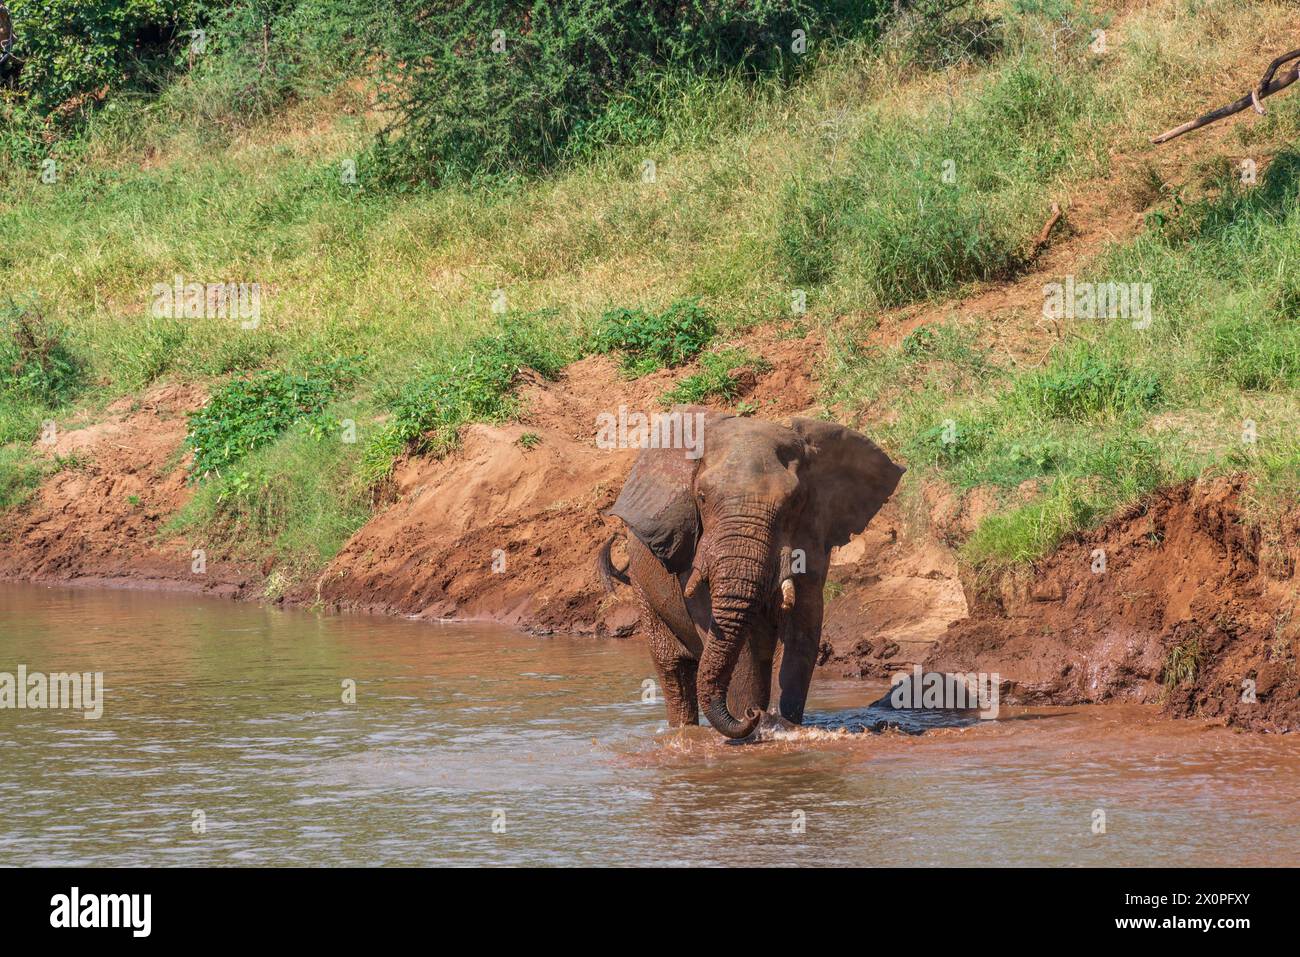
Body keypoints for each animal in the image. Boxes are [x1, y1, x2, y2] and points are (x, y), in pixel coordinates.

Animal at [598, 410, 904, 738]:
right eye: (701, 497)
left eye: (795, 501)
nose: (753, 714)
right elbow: (737, 646)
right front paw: (757, 726)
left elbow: (801, 629)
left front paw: (781, 725)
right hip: (643, 585)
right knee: (673, 670)